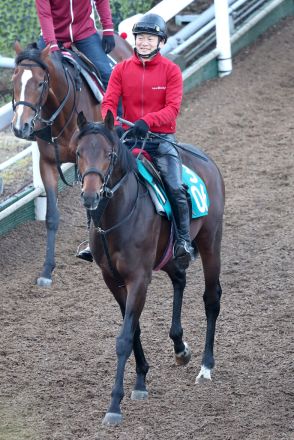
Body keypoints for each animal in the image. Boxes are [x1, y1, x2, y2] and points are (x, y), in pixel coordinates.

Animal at [10, 36, 131, 288]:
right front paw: (47, 269)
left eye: (40, 83)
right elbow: (52, 216)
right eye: (14, 80)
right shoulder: (48, 164)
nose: (19, 127)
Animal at [72, 110, 225, 426]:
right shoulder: (113, 279)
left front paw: (114, 405)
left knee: (211, 298)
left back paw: (206, 366)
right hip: (166, 256)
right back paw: (180, 348)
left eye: (109, 154)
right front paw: (141, 380)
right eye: (79, 153)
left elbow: (124, 337)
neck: (116, 217)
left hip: (210, 240)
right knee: (179, 277)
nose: (90, 196)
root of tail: (205, 158)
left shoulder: (138, 279)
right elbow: (134, 330)